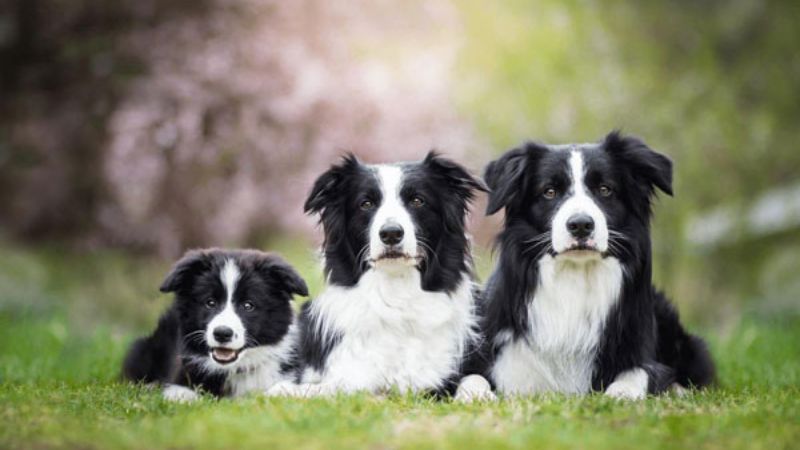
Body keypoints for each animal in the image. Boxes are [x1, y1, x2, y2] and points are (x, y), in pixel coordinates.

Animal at [123, 250, 308, 400]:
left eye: (248, 305)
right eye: (210, 302)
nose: (222, 333)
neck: (235, 368)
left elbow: (282, 388)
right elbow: (180, 392)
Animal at [268, 153, 494, 400]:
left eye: (417, 201)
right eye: (366, 204)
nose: (391, 233)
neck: (397, 294)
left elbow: (475, 378)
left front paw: (476, 395)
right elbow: (333, 386)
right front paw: (289, 389)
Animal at [478, 132, 716, 400]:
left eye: (605, 190)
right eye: (549, 192)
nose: (581, 225)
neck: (575, 278)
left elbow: (639, 372)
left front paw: (620, 394)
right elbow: (476, 378)